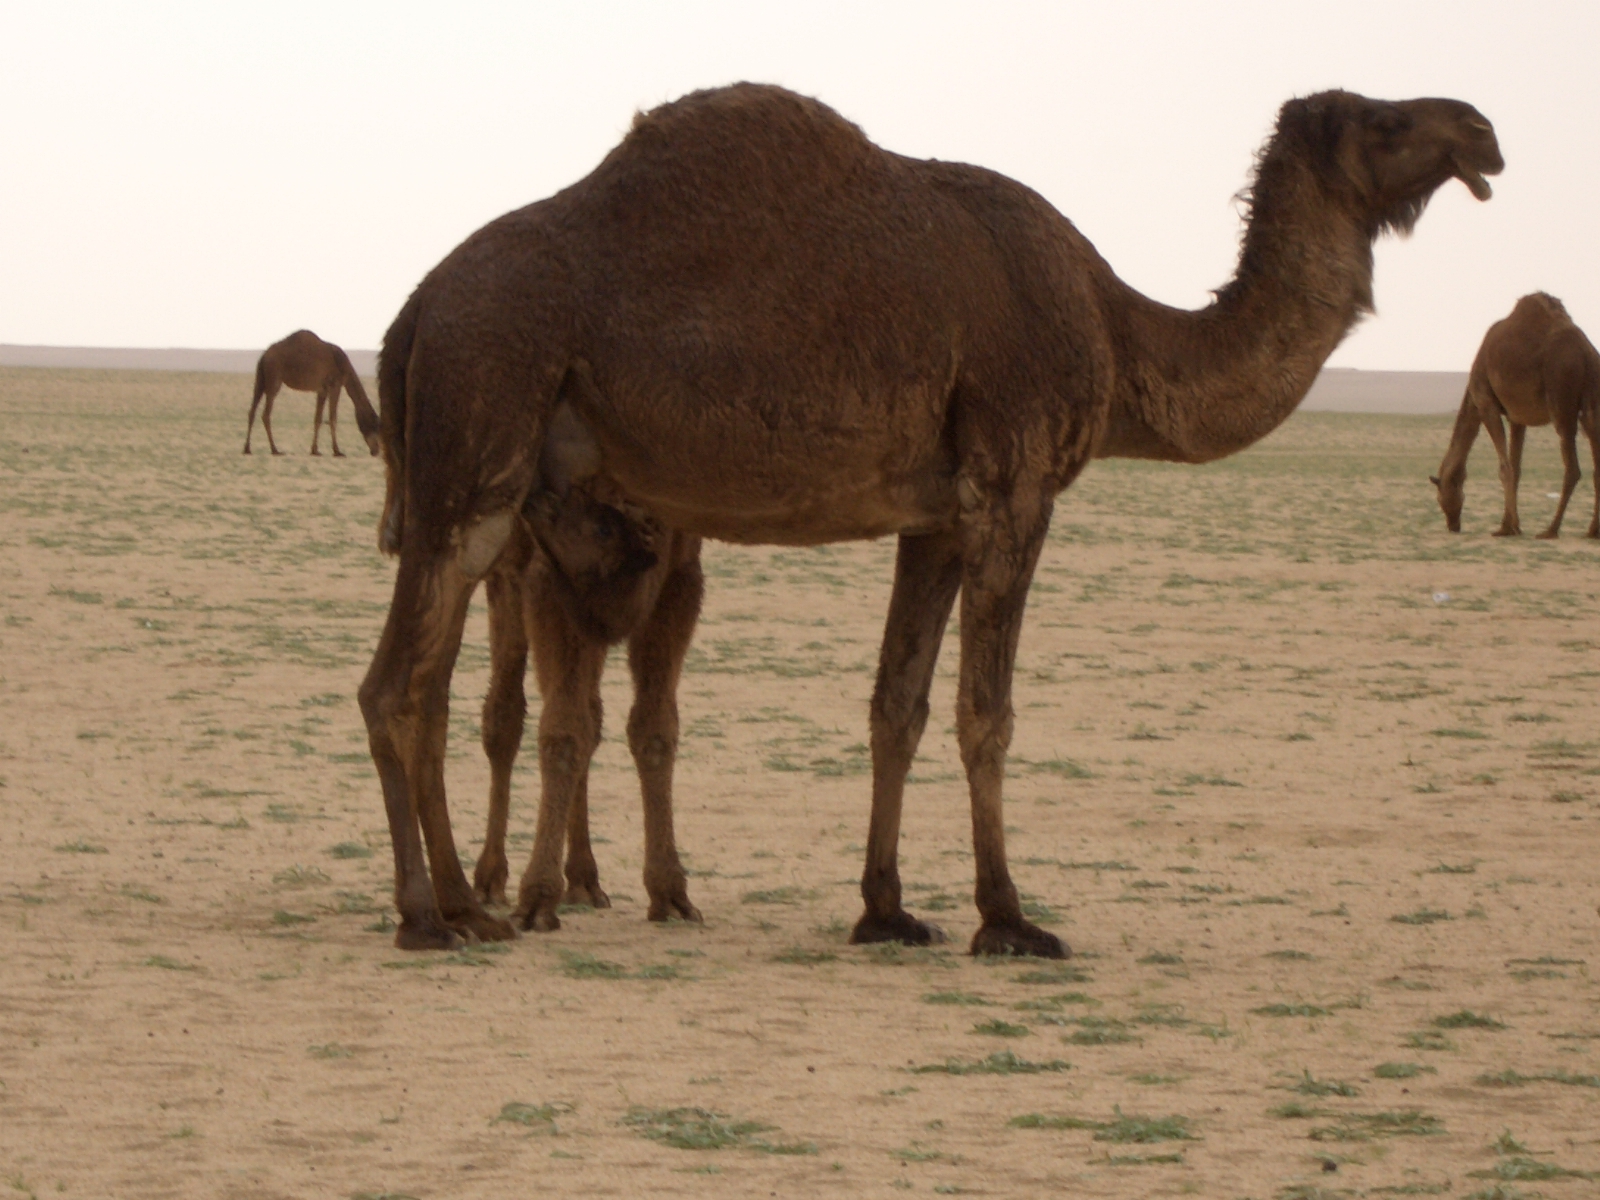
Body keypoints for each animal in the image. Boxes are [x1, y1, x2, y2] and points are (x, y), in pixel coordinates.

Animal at [243, 329, 381, 457]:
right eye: (374, 426)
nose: (376, 451)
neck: (344, 366)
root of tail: (264, 356)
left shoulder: (322, 389)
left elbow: (318, 418)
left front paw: (315, 450)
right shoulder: (335, 385)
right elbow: (332, 418)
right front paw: (337, 451)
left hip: (260, 380)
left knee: (252, 410)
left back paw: (247, 449)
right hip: (274, 379)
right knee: (266, 414)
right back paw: (275, 450)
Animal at [358, 83, 1500, 956]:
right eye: (1389, 121)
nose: (1483, 131)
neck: (1116, 330)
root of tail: (409, 317)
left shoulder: (937, 518)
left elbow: (895, 707)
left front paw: (887, 911)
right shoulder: (1013, 489)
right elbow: (984, 714)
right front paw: (1009, 918)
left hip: (477, 479)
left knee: (431, 681)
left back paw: (470, 906)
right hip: (483, 416)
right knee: (395, 685)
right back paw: (427, 916)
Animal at [1431, 293, 1600, 538]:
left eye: (1440, 498)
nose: (1453, 525)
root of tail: (1587, 352)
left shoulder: (1486, 404)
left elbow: (1505, 468)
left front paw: (1508, 527)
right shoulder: (1517, 418)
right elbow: (1516, 468)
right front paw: (1510, 525)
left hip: (1561, 396)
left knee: (1572, 468)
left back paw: (1550, 530)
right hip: (1592, 401)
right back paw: (1593, 530)